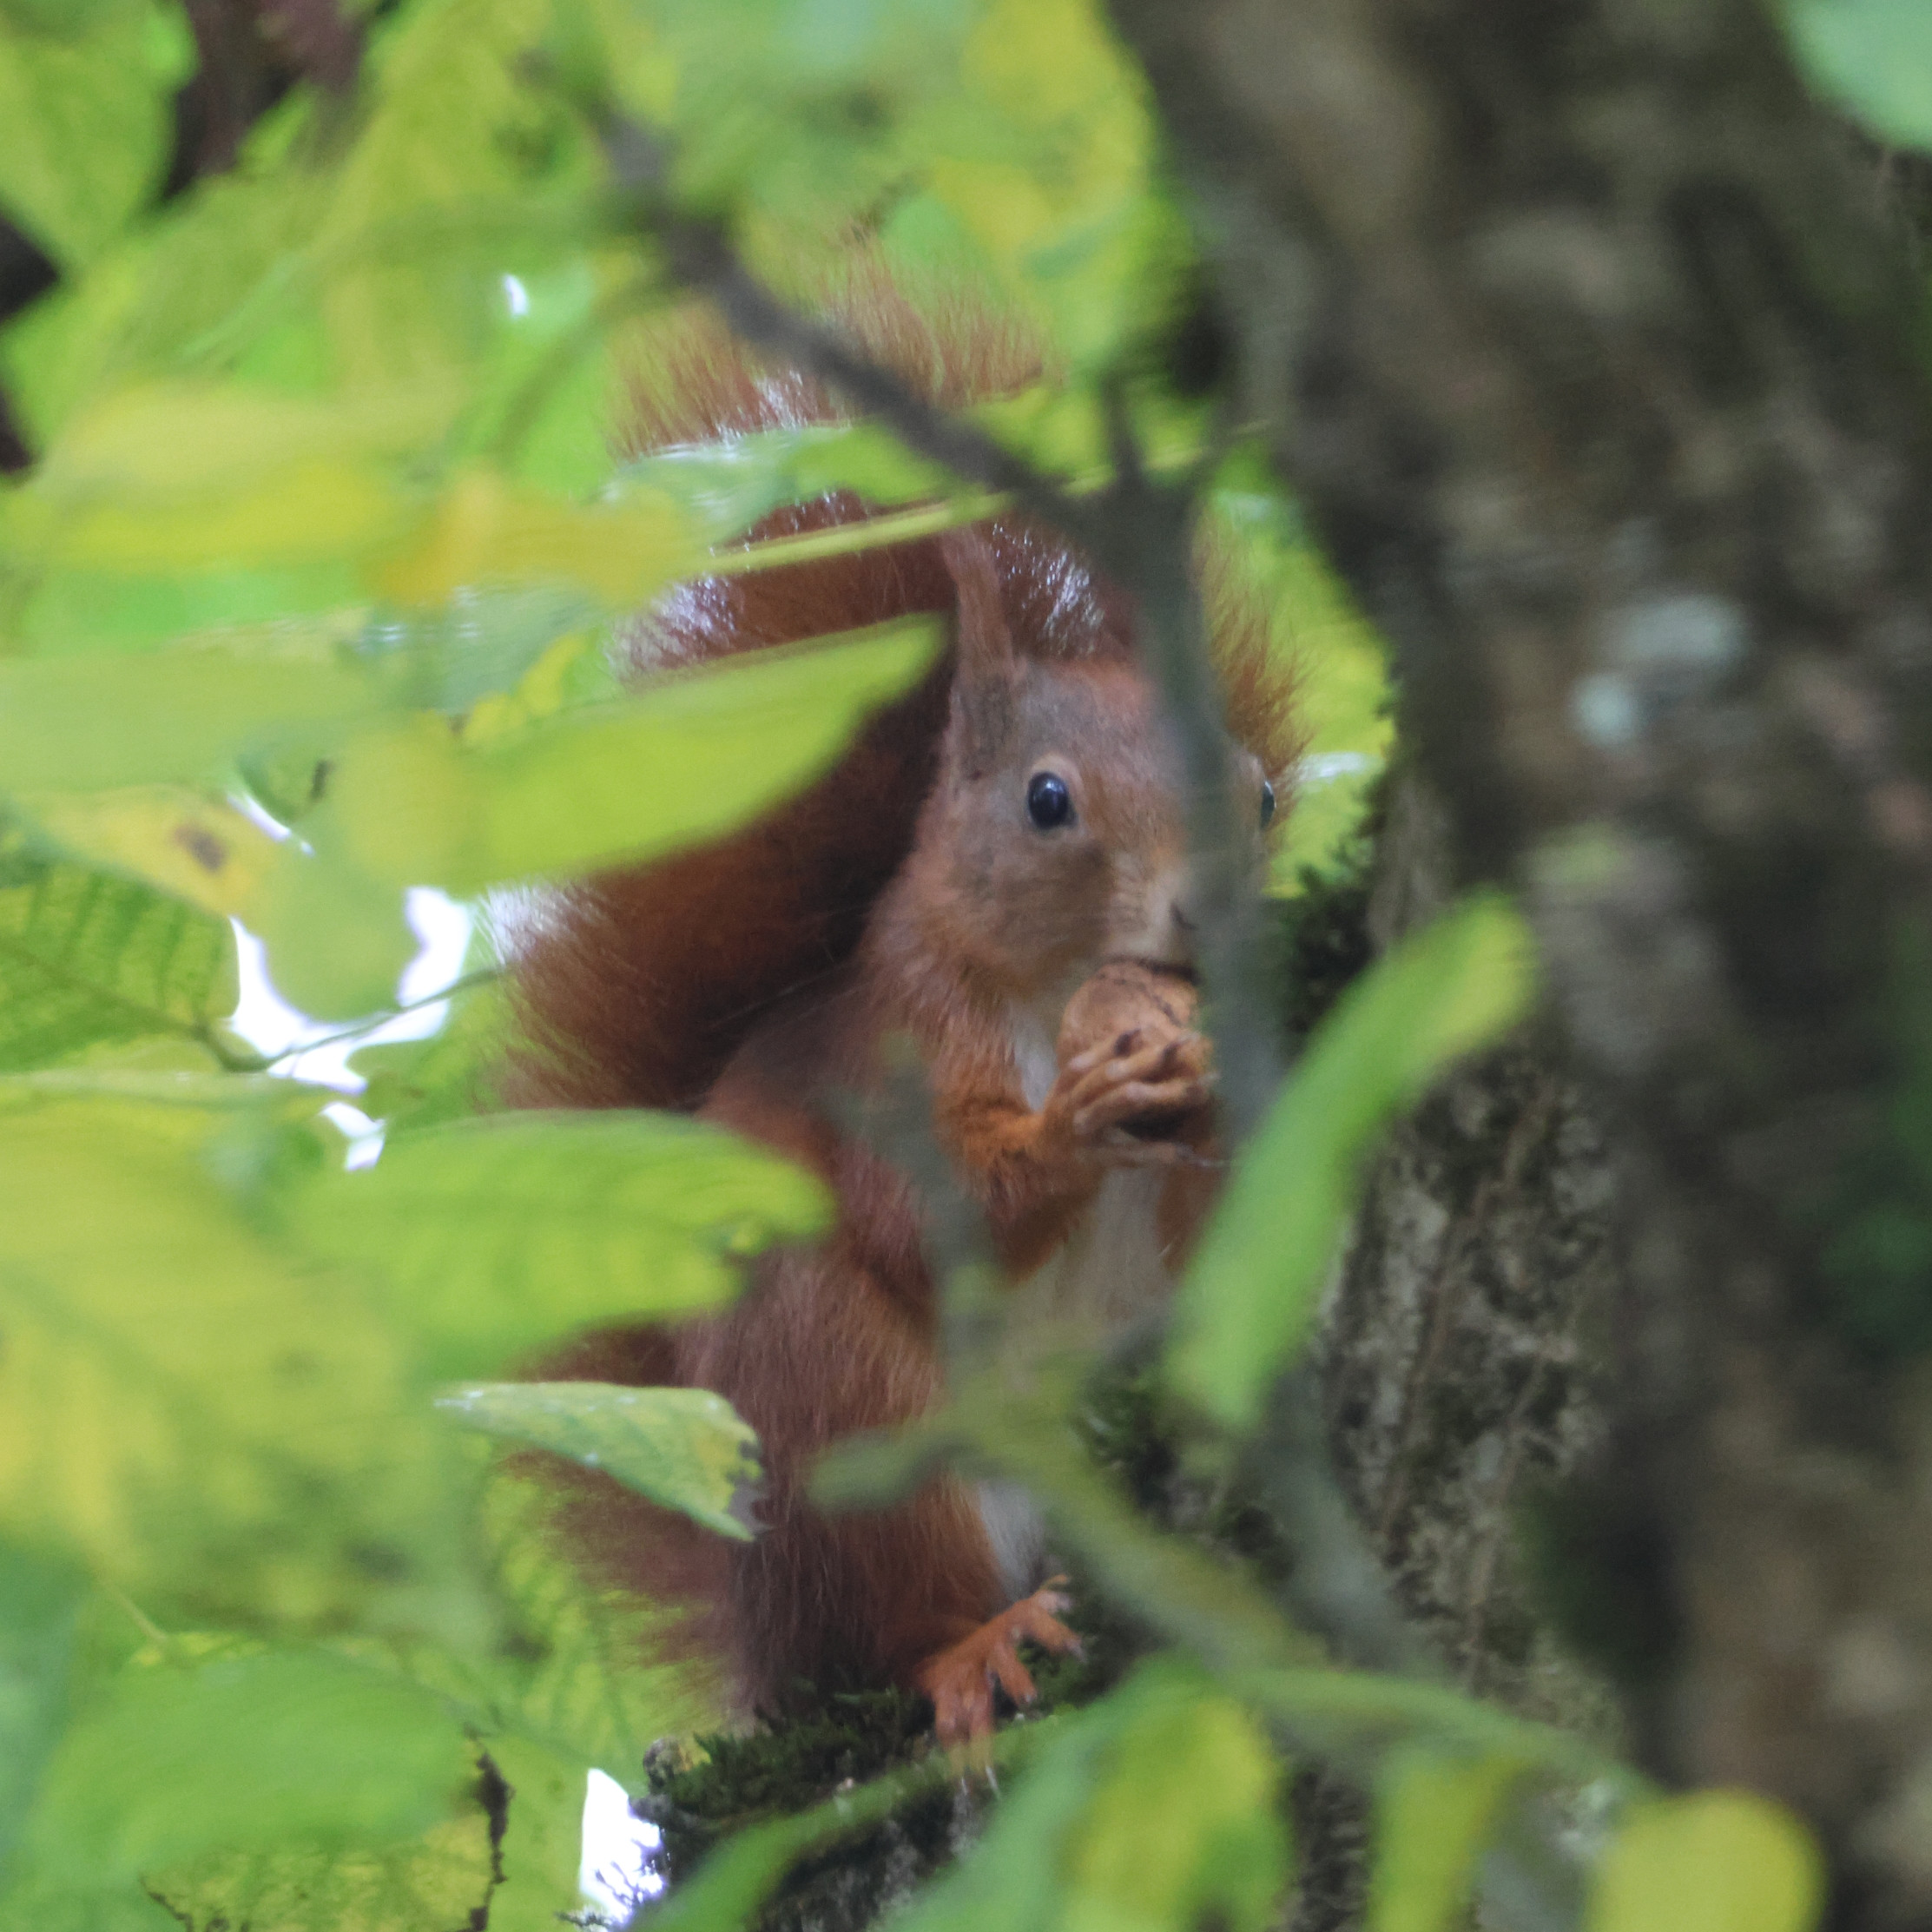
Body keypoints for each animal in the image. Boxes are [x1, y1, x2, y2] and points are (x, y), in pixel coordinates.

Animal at [505, 272, 1301, 1743]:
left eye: (1260, 792)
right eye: (1046, 799)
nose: (1212, 912)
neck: (1045, 992)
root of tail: (760, 1643)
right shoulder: (895, 1055)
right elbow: (925, 1217)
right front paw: (1070, 1128)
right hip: (846, 1420)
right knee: (895, 1616)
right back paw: (972, 1649)